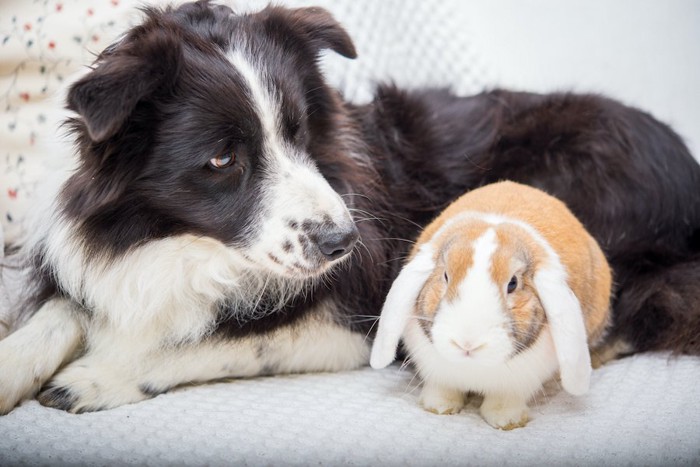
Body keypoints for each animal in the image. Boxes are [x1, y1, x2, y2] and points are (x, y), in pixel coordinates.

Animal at [372, 181, 612, 430]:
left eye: (513, 283)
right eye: (446, 276)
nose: (467, 343)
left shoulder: (518, 383)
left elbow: (506, 399)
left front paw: (506, 420)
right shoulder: (437, 372)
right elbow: (443, 387)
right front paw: (438, 406)